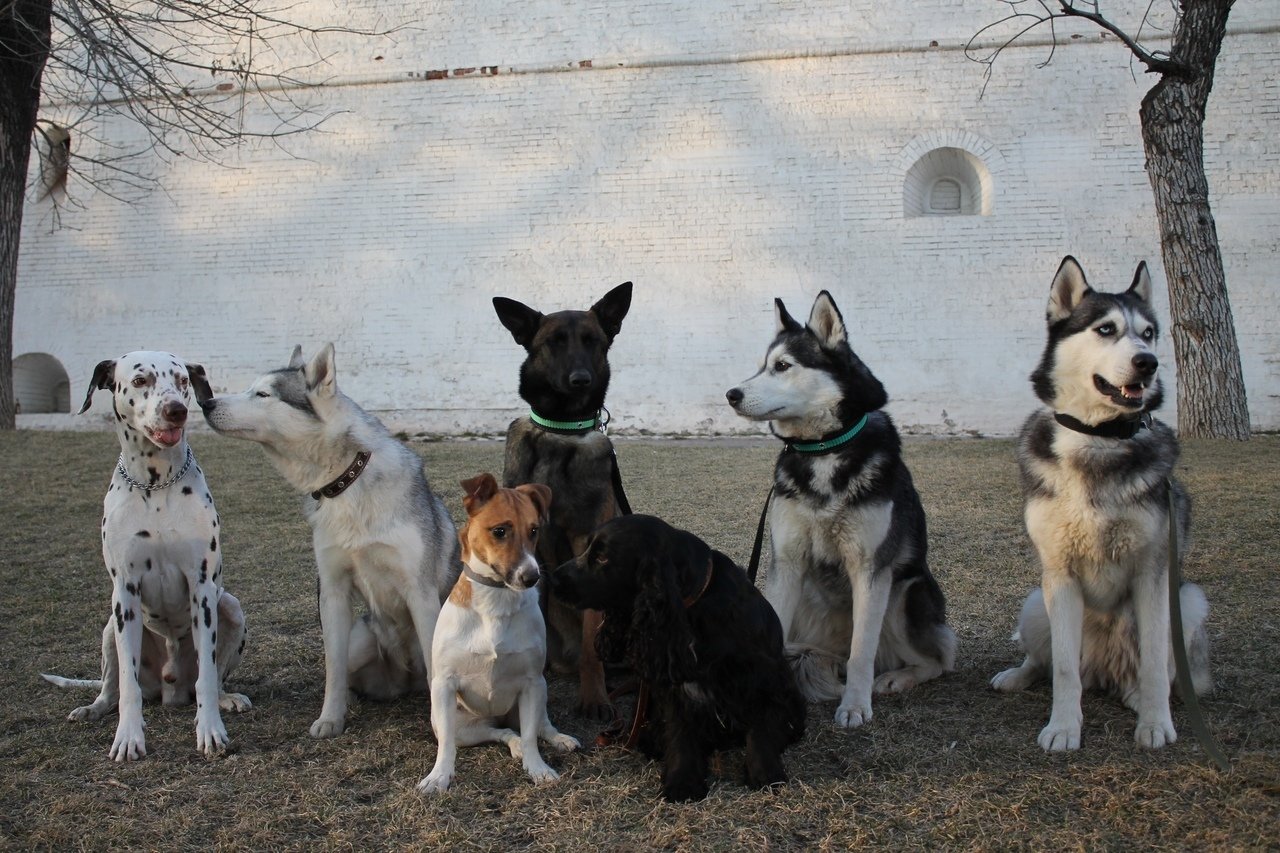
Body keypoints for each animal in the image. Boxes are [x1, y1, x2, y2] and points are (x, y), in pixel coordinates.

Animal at [43, 348, 248, 758]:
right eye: (140, 380)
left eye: (183, 380)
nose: (176, 410)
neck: (156, 485)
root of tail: (170, 689)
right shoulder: (125, 591)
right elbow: (128, 686)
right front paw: (128, 737)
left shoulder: (203, 589)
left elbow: (207, 678)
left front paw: (210, 730)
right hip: (110, 626)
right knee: (113, 687)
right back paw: (93, 708)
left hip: (230, 607)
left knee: (214, 679)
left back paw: (227, 698)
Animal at [488, 280, 629, 717]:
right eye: (554, 342)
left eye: (592, 341)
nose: (580, 379)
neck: (561, 429)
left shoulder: (586, 543)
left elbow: (591, 640)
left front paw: (594, 697)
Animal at [547, 514, 803, 799]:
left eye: (602, 558)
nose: (552, 579)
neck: (693, 607)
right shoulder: (674, 687)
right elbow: (681, 732)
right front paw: (683, 782)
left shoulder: (761, 679)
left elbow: (760, 729)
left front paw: (766, 775)